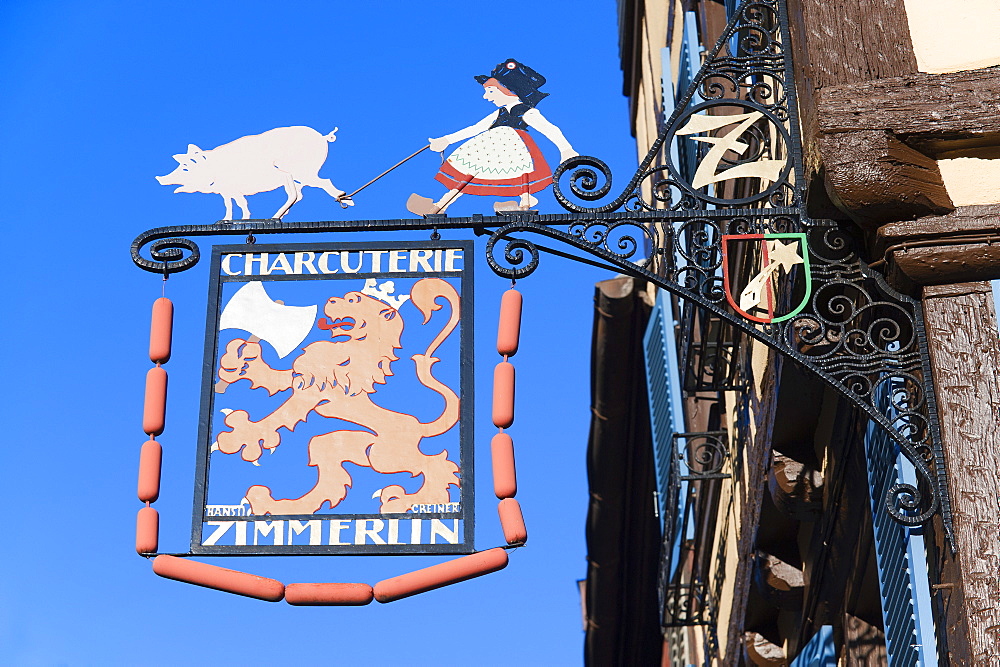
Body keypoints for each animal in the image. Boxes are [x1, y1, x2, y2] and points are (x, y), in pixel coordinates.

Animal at [215, 276, 460, 516]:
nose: (331, 300)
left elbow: (278, 417)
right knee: (329, 477)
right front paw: (239, 363)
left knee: (435, 465)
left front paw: (240, 435)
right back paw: (274, 505)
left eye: (353, 300)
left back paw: (402, 501)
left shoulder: (312, 393)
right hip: (345, 446)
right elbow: (271, 378)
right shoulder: (300, 379)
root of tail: (419, 426)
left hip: (384, 457)